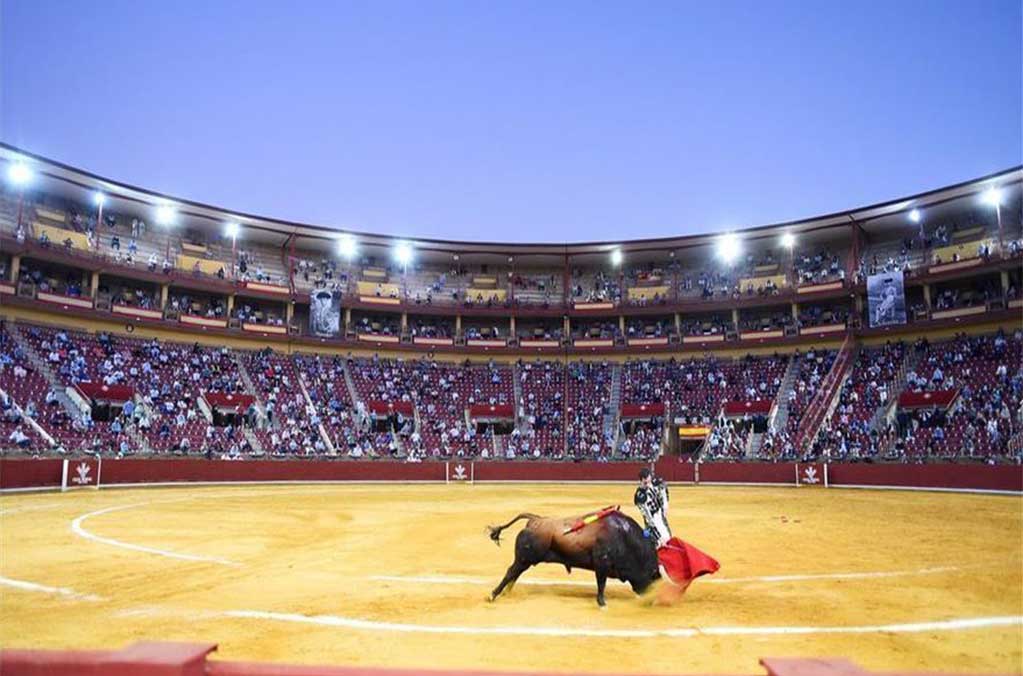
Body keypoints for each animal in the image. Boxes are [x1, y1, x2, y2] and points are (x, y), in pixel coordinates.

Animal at [484, 507, 658, 605]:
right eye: (652, 576)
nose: (651, 600)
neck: (624, 537)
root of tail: (535, 520)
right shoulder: (601, 564)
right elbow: (601, 584)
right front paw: (602, 603)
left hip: (524, 560)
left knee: (515, 573)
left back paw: (506, 592)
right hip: (524, 559)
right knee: (511, 572)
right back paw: (493, 595)